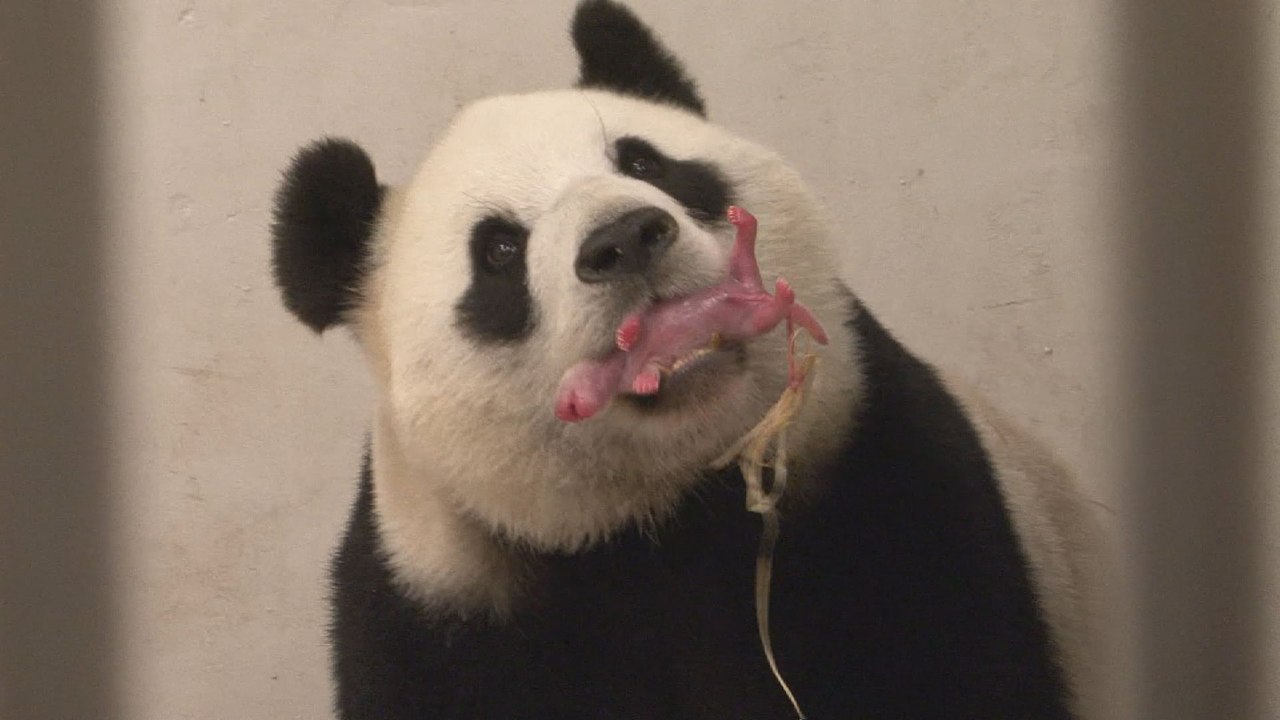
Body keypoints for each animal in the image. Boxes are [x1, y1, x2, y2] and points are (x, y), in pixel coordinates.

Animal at [270, 1, 1111, 718]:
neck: (670, 508)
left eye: (645, 163)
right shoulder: (438, 603)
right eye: (499, 251)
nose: (625, 238)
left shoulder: (888, 470)